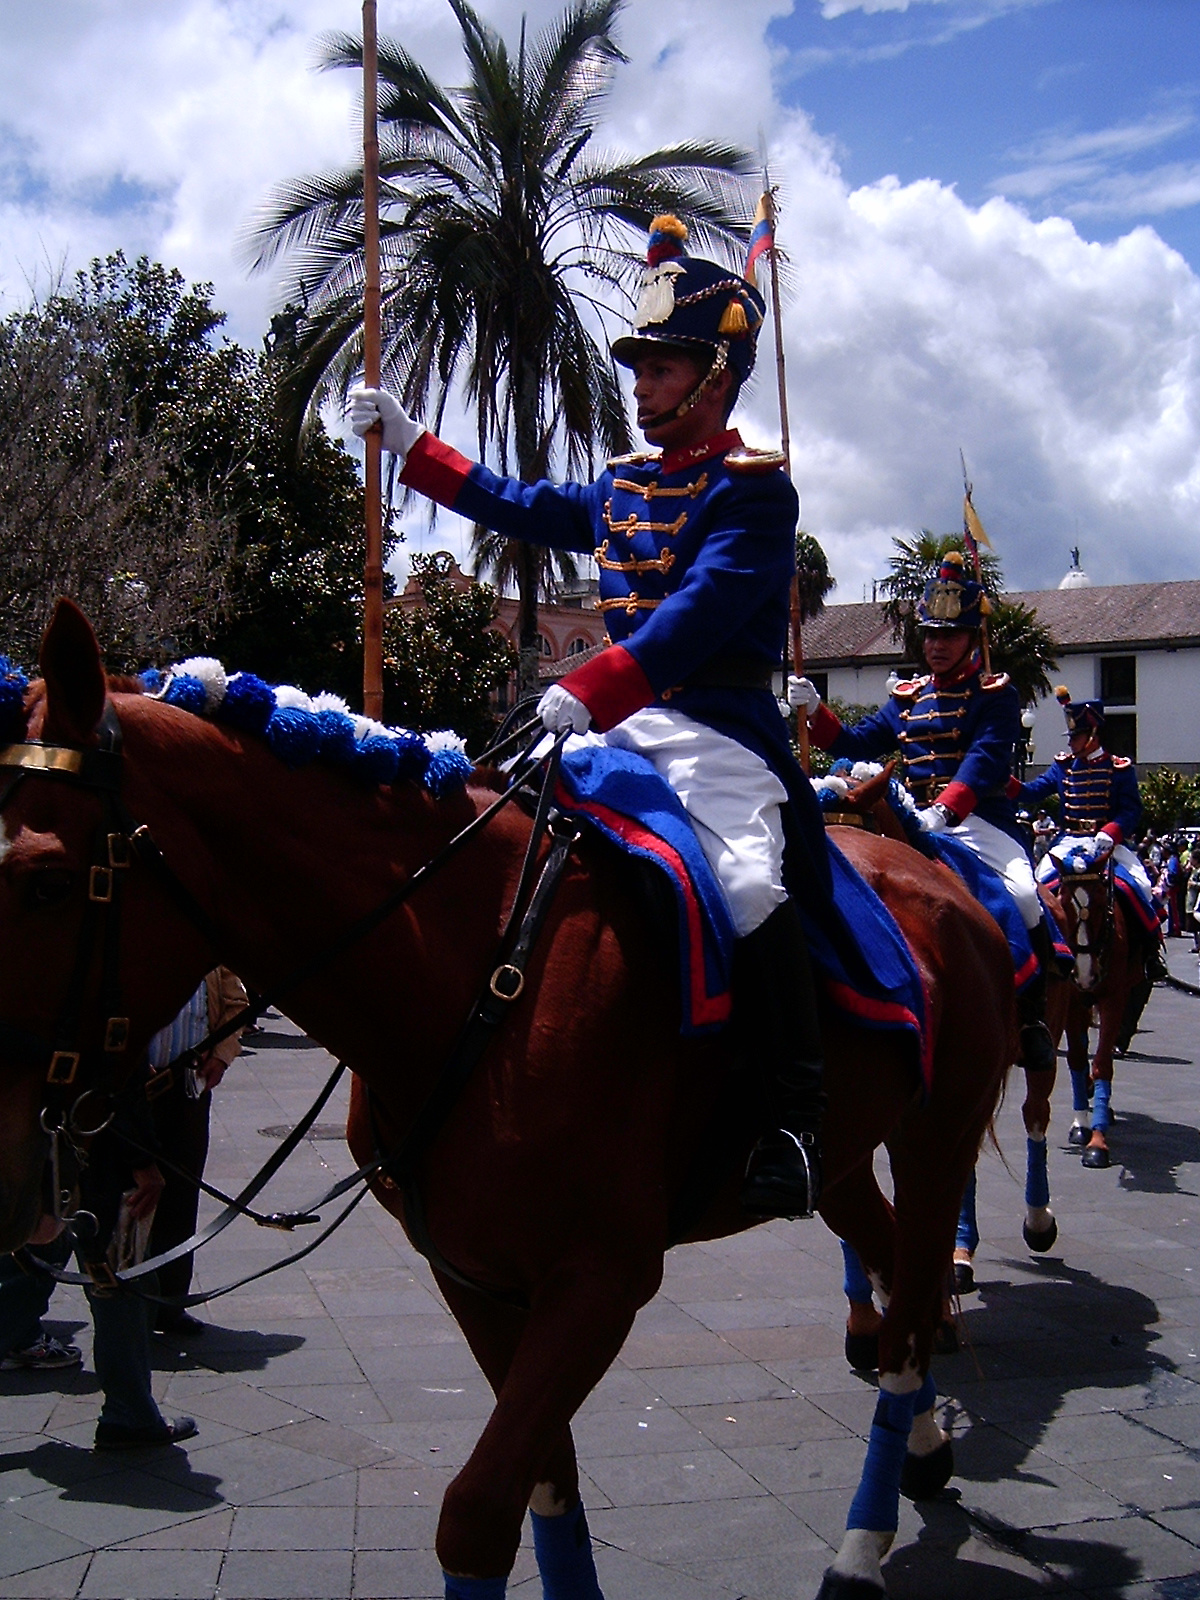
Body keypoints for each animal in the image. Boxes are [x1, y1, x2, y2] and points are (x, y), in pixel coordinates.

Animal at [0, 601, 1017, 1600]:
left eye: (43, 880)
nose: (13, 1173)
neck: (484, 962)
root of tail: (938, 875)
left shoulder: (600, 1281)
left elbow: (478, 1511)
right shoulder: (472, 1274)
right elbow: (540, 1488)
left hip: (935, 1140)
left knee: (912, 1316)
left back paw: (860, 1549)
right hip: (842, 1158)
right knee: (890, 1267)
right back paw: (925, 1456)